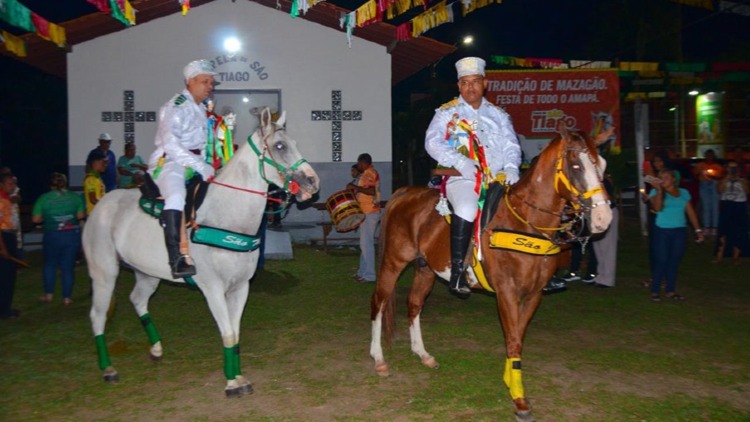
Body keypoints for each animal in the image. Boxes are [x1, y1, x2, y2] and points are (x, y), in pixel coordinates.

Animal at [85, 108, 320, 396]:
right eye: (279, 146)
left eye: (293, 143)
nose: (312, 182)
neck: (226, 217)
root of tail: (100, 206)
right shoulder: (213, 289)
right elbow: (228, 333)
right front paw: (231, 383)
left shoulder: (240, 288)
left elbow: (235, 334)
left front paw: (238, 377)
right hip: (104, 273)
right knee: (97, 315)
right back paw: (108, 369)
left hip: (147, 274)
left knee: (137, 300)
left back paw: (156, 349)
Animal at [374, 125, 612, 418]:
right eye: (576, 165)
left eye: (602, 165)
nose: (603, 219)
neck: (526, 222)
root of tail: (406, 192)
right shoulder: (506, 293)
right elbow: (513, 339)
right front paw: (519, 399)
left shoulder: (534, 295)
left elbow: (517, 336)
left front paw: (511, 380)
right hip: (393, 262)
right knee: (380, 302)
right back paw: (379, 360)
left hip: (426, 269)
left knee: (414, 304)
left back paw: (423, 354)